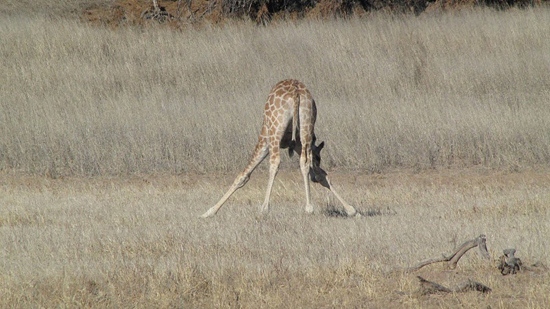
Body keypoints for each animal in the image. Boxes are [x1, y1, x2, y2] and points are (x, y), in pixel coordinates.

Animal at [201, 80, 360, 219]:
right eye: (318, 158)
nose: (313, 179)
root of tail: (296, 92)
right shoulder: (298, 144)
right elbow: (322, 174)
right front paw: (352, 210)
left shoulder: (265, 141)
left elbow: (243, 175)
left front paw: (208, 212)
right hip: (306, 126)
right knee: (304, 161)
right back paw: (309, 207)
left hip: (275, 131)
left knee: (275, 163)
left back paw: (265, 208)